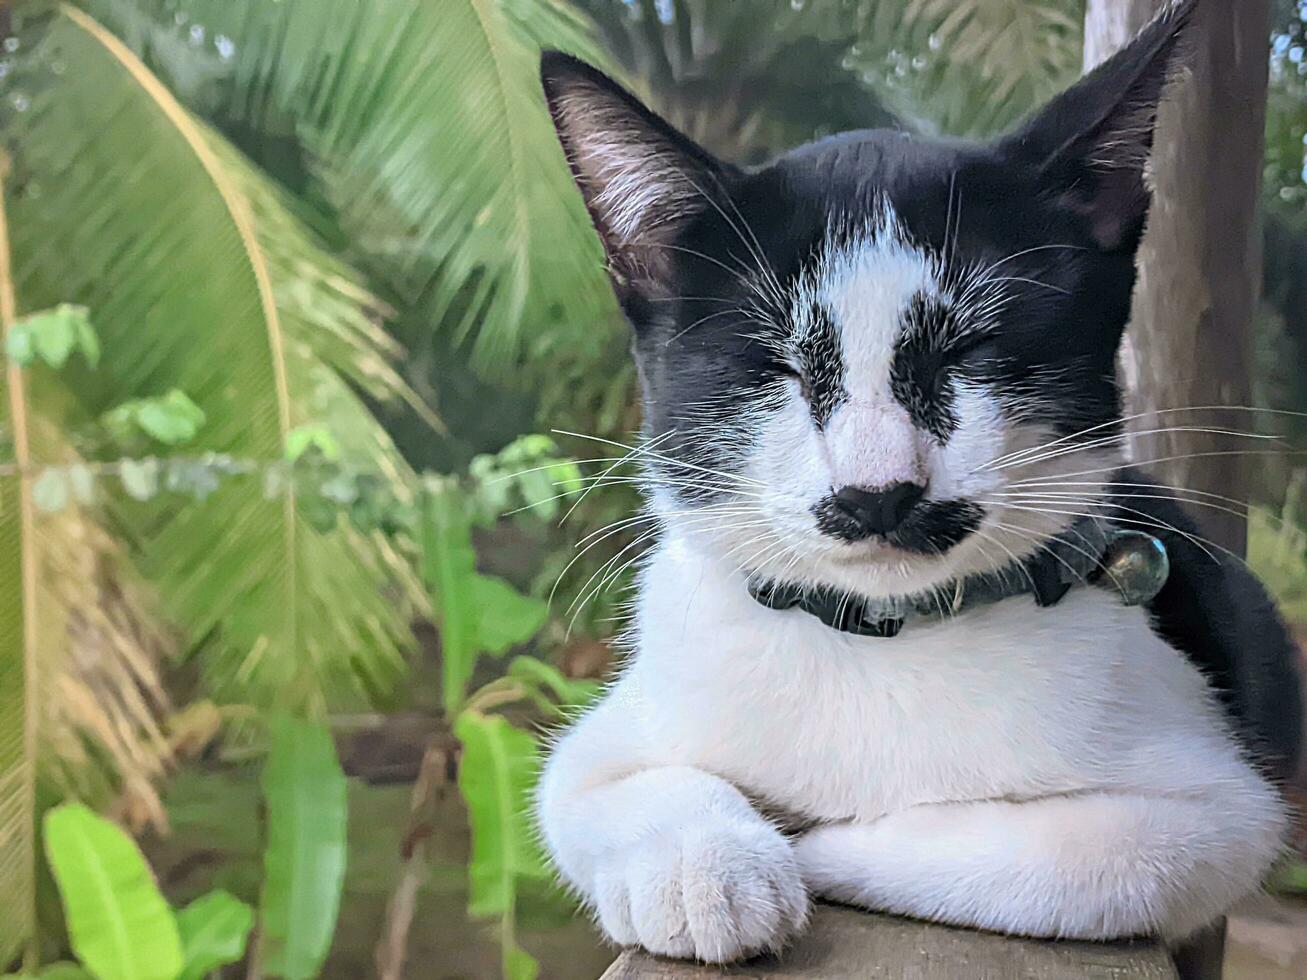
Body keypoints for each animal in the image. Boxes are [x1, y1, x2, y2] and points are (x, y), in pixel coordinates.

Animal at [535, 0, 1301, 966]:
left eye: (968, 350)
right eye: (775, 367)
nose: (877, 491)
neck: (882, 639)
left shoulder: (1221, 805)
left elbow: (1104, 858)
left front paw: (816, 844)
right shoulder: (626, 717)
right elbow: (583, 778)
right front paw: (706, 869)